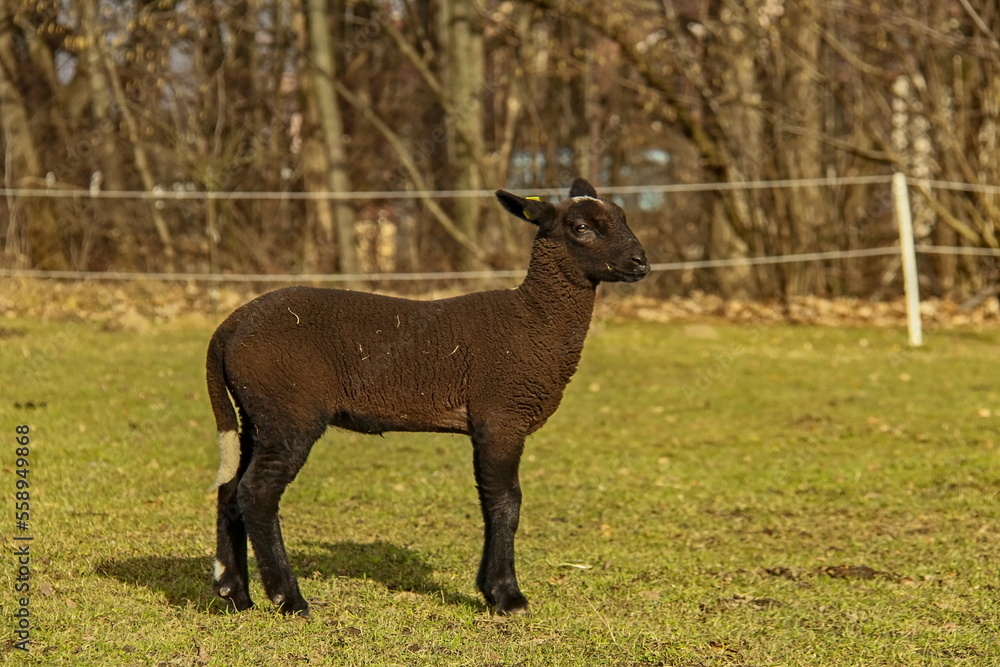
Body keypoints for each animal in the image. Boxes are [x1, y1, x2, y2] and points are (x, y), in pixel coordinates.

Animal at [206, 178, 648, 616]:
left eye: (623, 216)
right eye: (581, 228)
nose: (641, 262)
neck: (533, 319)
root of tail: (229, 328)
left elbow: (490, 501)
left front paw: (490, 590)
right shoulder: (502, 415)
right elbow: (505, 503)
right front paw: (507, 597)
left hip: (255, 413)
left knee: (231, 490)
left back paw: (234, 592)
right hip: (289, 411)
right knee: (257, 493)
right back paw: (289, 599)